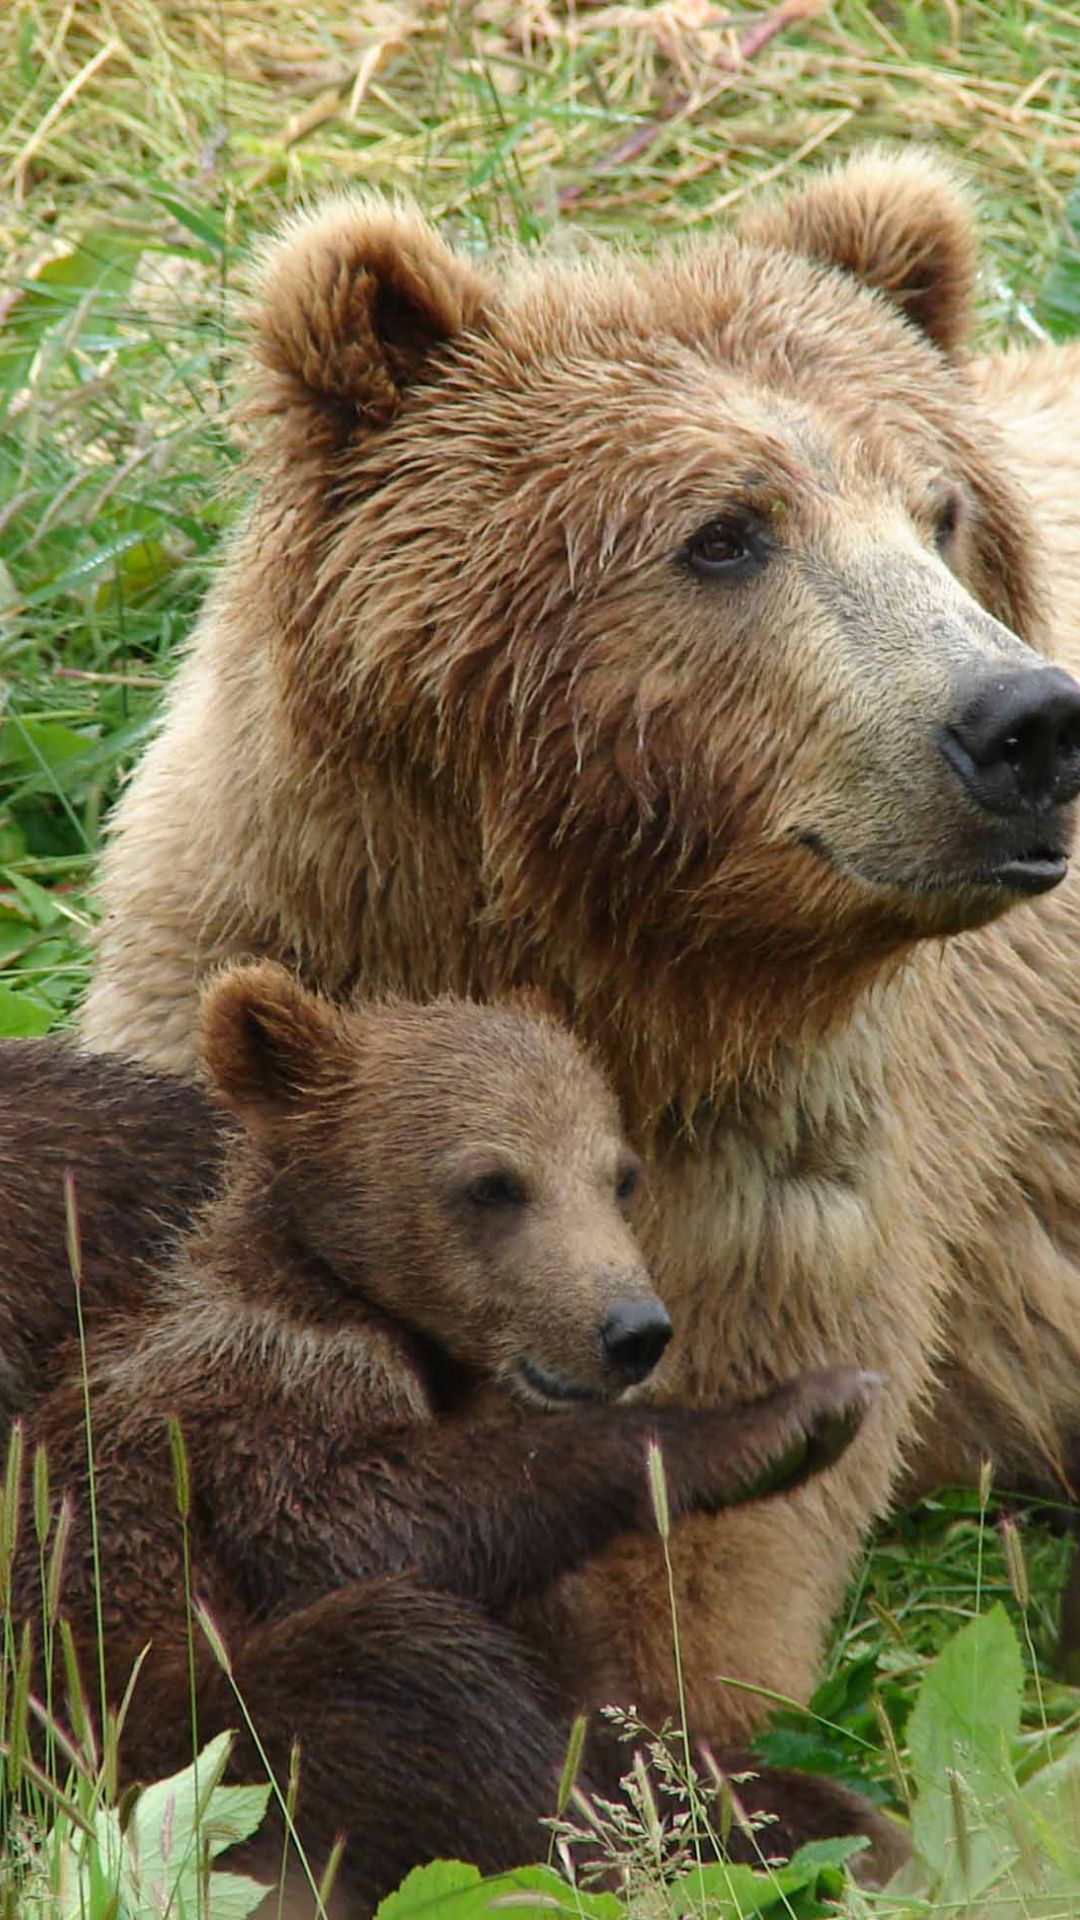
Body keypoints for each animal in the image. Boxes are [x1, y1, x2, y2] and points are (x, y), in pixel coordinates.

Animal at [74, 148, 1080, 1744]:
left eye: (940, 515)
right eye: (726, 532)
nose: (1023, 721)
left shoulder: (784, 1180)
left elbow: (696, 1584)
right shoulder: (243, 990)